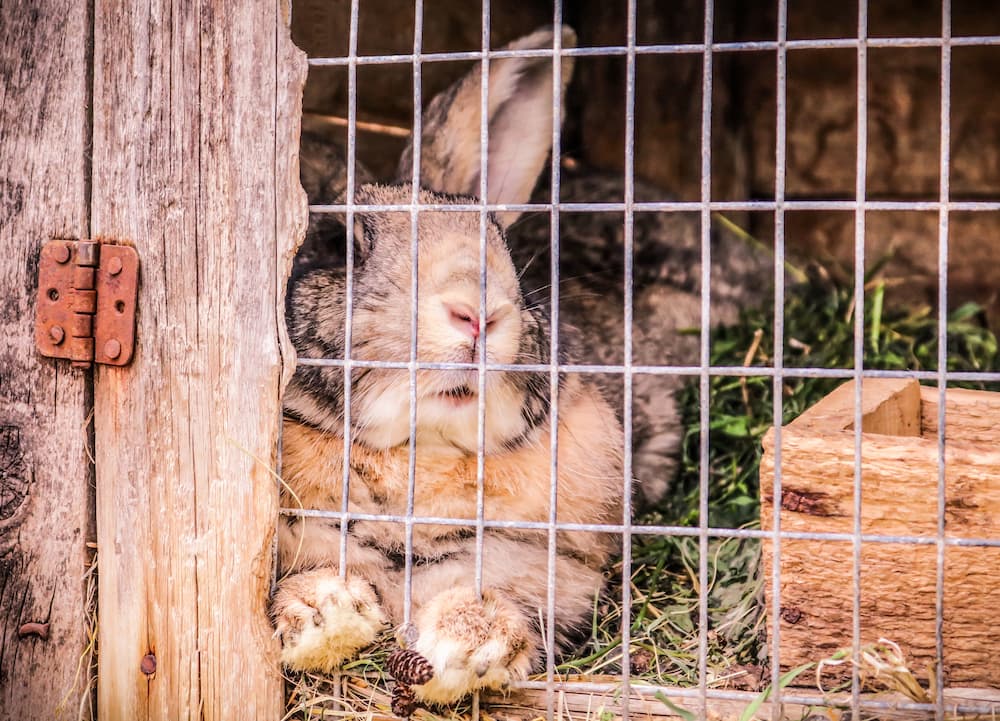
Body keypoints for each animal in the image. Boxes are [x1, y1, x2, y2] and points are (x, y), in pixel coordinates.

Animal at [275, 27, 626, 705]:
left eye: (503, 244)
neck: (418, 454)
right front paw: (325, 613)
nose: (478, 314)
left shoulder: (550, 564)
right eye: (339, 245)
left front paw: (468, 645)